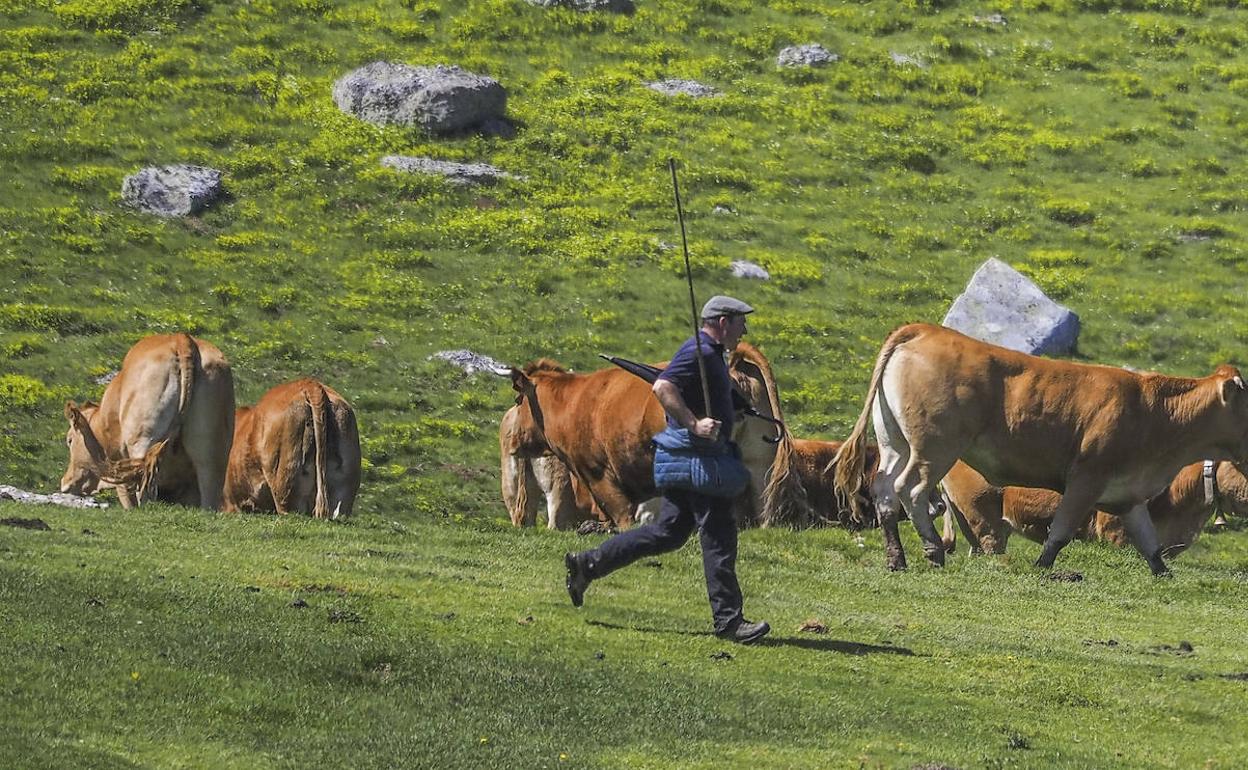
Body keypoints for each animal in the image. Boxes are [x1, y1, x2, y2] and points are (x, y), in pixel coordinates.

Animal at [504, 341, 778, 529]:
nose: (512, 443)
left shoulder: (598, 474)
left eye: (519, 400)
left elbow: (622, 516)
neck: (572, 401)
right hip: (759, 468)